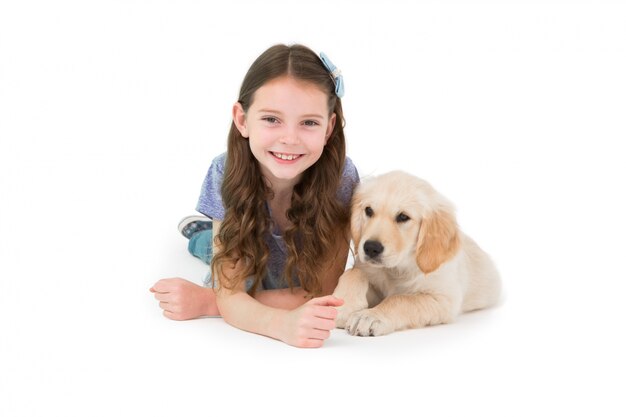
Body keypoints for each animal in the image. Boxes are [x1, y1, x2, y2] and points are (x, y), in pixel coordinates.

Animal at [334, 171, 500, 336]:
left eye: (403, 217)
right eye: (368, 210)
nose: (371, 248)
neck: (398, 268)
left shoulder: (443, 299)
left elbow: (401, 299)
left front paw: (369, 316)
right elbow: (353, 273)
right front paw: (343, 305)